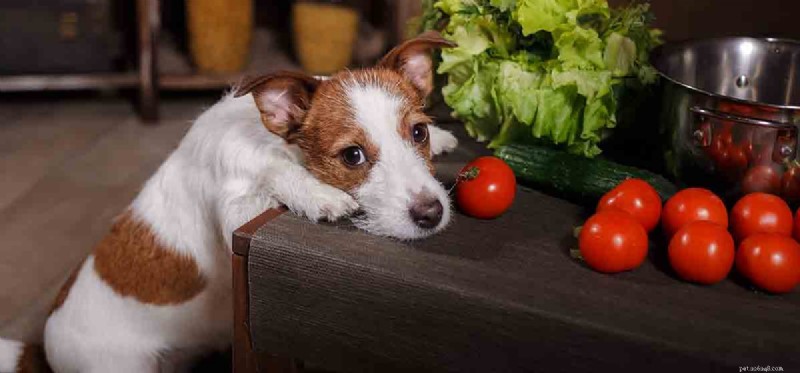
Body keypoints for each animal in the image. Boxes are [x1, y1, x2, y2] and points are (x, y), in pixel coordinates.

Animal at [0, 32, 460, 372]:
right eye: (352, 156)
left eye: (418, 132)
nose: (431, 213)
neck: (270, 138)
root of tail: (43, 344)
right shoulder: (236, 211)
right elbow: (272, 171)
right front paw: (318, 194)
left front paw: (443, 138)